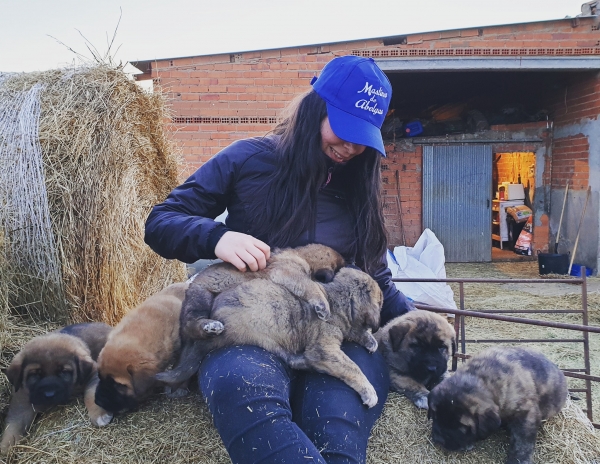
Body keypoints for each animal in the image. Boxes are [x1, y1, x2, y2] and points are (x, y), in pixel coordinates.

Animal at [0, 322, 112, 454]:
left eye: (63, 372)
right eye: (35, 374)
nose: (49, 394)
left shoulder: (94, 373)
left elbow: (91, 393)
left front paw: (99, 414)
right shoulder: (22, 401)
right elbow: (12, 428)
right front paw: (4, 449)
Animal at [155, 266, 380, 408]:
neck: (339, 298)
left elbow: (357, 333)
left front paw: (371, 341)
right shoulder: (324, 349)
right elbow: (352, 367)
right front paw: (369, 392)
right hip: (263, 330)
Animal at [180, 243, 344, 340]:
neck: (300, 255)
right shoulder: (286, 272)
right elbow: (311, 285)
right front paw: (323, 306)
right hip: (201, 296)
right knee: (189, 325)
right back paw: (210, 326)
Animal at [426, 346, 568, 462]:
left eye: (462, 426)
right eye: (435, 417)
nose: (439, 440)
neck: (482, 379)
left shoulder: (526, 413)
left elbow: (522, 442)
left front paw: (518, 460)